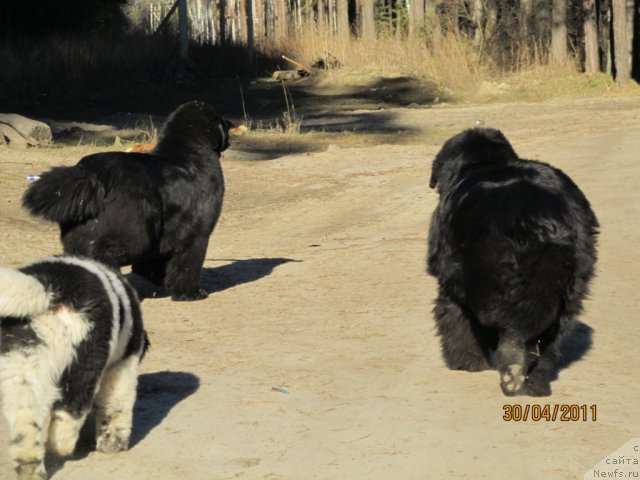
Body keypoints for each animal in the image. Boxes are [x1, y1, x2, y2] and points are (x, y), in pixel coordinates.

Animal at [0, 256, 146, 478]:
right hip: (86, 356)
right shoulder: (122, 365)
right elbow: (117, 403)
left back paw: (31, 469)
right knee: (72, 405)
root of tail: (49, 285)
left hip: (24, 362)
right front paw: (113, 442)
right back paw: (62, 445)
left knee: (25, 420)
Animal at [22, 101, 232, 302]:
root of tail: (95, 173)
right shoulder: (197, 234)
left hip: (81, 233)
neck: (191, 149)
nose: (231, 125)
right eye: (221, 120)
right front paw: (190, 294)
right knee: (105, 253)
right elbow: (187, 266)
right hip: (137, 232)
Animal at [428, 125, 596, 396]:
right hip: (571, 287)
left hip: (489, 281)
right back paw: (535, 382)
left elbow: (454, 317)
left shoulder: (450, 281)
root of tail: (545, 219)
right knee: (548, 338)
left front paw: (467, 362)